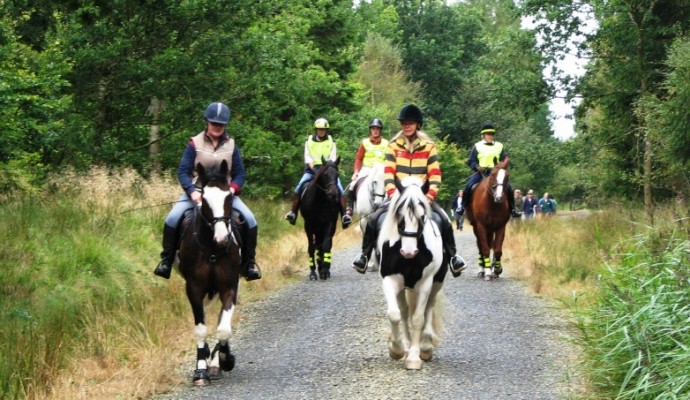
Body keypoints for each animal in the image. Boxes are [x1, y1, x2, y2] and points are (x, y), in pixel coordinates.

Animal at [176, 161, 241, 386]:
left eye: (229, 197)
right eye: (204, 199)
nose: (222, 238)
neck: (212, 249)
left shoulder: (229, 287)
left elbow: (223, 328)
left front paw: (225, 359)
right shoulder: (193, 289)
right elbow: (201, 328)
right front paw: (201, 371)